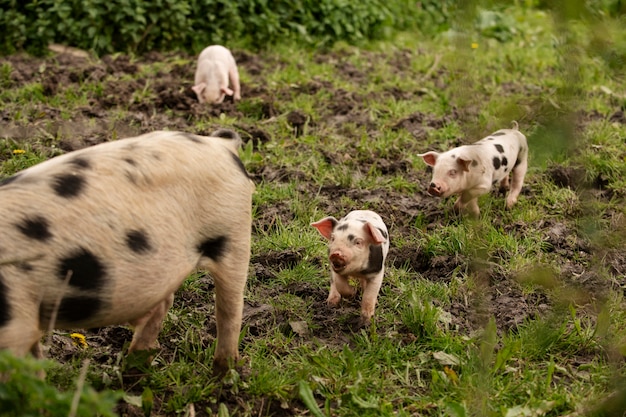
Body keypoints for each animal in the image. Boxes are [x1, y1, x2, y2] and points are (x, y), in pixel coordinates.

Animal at [0, 128, 254, 372]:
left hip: (235, 233)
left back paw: (223, 374)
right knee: (163, 303)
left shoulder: (15, 323)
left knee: (229, 310)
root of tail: (221, 145)